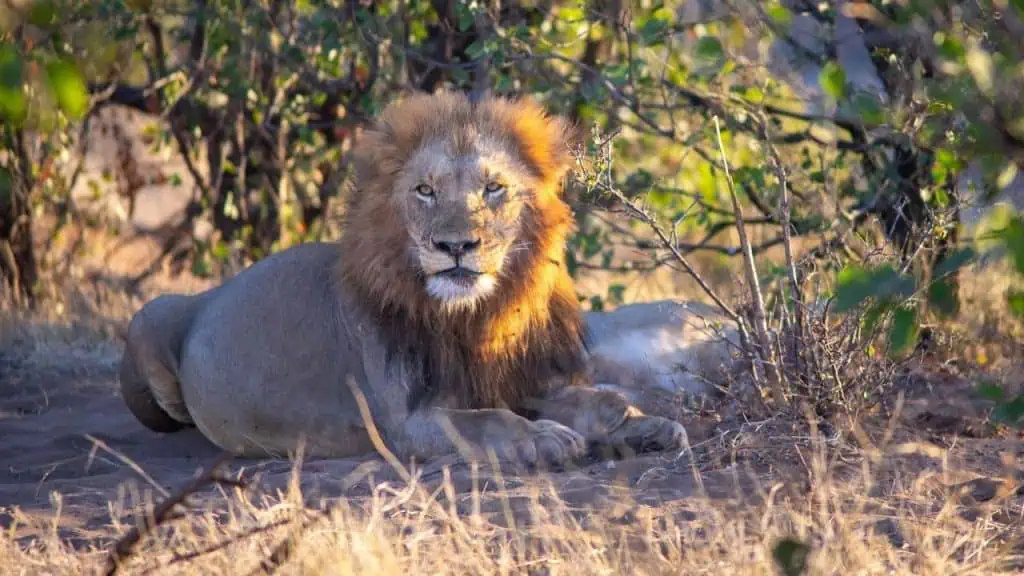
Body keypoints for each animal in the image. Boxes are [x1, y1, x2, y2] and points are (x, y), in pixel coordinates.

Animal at [118, 90, 686, 467]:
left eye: (494, 188)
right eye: (425, 191)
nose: (456, 246)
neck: (479, 316)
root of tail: (209, 295)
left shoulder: (520, 378)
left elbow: (594, 400)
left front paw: (645, 425)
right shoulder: (406, 421)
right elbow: (486, 420)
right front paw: (543, 439)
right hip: (148, 318)